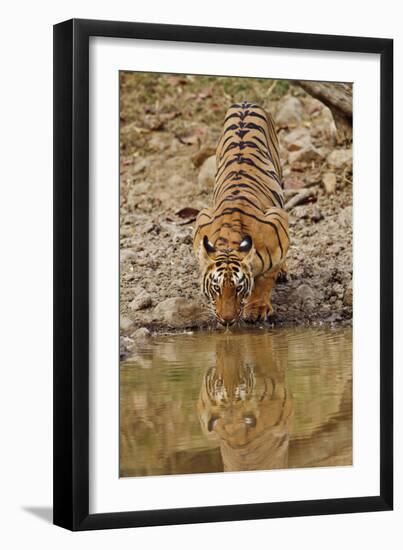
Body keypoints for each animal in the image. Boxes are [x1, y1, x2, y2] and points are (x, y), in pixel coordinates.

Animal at [193, 101, 290, 326]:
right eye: (216, 288)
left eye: (238, 288)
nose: (227, 320)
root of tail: (245, 103)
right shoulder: (202, 219)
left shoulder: (278, 221)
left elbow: (265, 279)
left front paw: (257, 309)